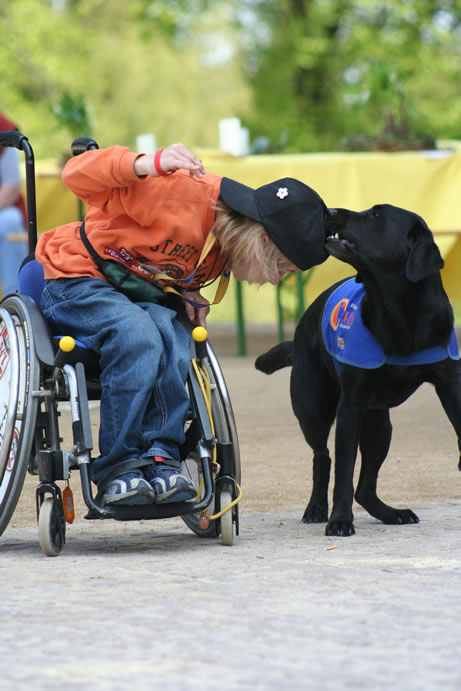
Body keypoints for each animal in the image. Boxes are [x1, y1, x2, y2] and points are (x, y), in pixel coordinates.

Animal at [255, 203, 461, 536]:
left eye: (376, 215)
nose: (330, 210)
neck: (401, 314)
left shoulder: (449, 383)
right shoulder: (350, 407)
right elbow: (344, 470)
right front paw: (340, 519)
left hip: (379, 425)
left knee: (364, 488)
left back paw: (392, 513)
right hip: (312, 410)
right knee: (323, 458)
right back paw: (317, 508)